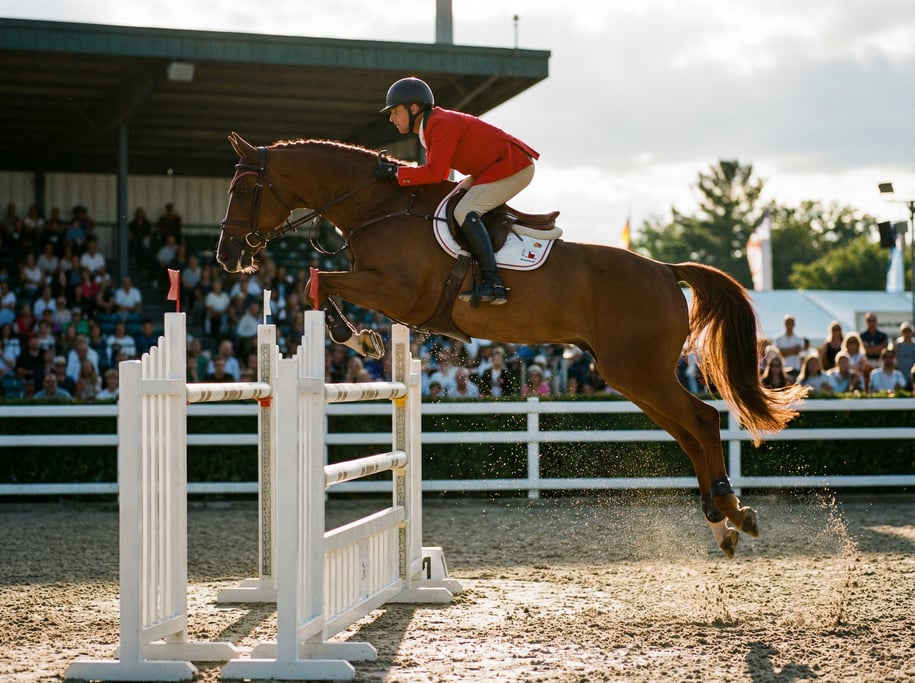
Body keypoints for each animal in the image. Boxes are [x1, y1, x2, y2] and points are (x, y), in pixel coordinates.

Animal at [216, 132, 809, 558]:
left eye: (243, 189)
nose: (227, 256)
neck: (377, 206)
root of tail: (666, 270)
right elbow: (321, 280)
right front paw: (360, 337)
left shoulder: (396, 292)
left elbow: (317, 279)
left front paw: (355, 337)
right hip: (632, 376)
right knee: (689, 432)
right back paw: (723, 521)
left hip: (640, 371)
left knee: (703, 421)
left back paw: (733, 513)